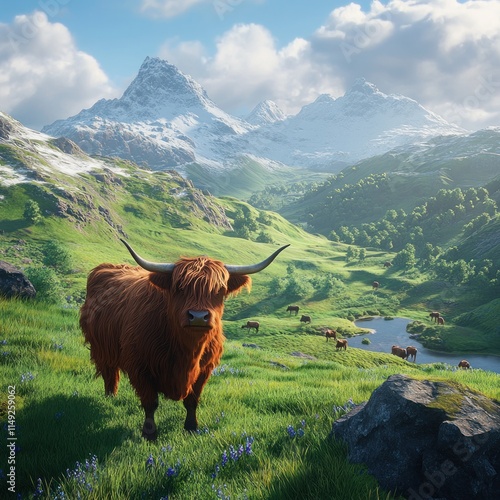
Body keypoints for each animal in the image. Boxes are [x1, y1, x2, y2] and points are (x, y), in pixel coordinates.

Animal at [79, 240, 288, 440]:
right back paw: (110, 397)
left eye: (219, 290)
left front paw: (191, 427)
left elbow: (192, 401)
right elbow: (150, 402)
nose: (198, 316)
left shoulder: (205, 369)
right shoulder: (140, 367)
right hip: (102, 349)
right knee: (109, 373)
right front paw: (149, 433)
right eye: (179, 288)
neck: (185, 351)